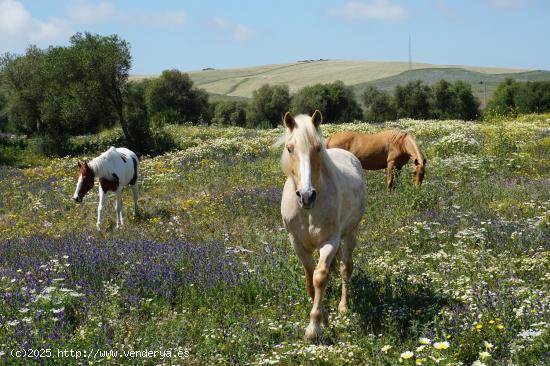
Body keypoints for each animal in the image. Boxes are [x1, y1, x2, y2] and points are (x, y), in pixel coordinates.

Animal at [280, 110, 366, 342]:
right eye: (289, 148)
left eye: (318, 148)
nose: (306, 196)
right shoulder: (297, 243)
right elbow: (310, 278)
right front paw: (324, 317)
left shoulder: (330, 241)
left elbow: (320, 277)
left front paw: (314, 327)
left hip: (350, 235)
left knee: (346, 268)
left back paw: (343, 306)